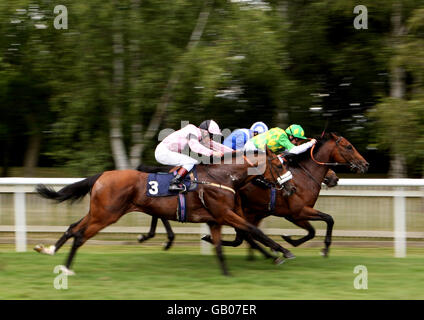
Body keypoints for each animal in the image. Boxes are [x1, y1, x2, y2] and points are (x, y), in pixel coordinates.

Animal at [34, 148, 294, 276]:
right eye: (279, 165)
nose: (291, 188)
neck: (222, 178)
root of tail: (101, 176)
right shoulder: (224, 214)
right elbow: (253, 230)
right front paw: (283, 251)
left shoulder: (216, 219)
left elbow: (229, 244)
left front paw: (227, 272)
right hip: (105, 215)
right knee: (79, 235)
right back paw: (66, 268)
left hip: (98, 212)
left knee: (72, 228)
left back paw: (48, 250)